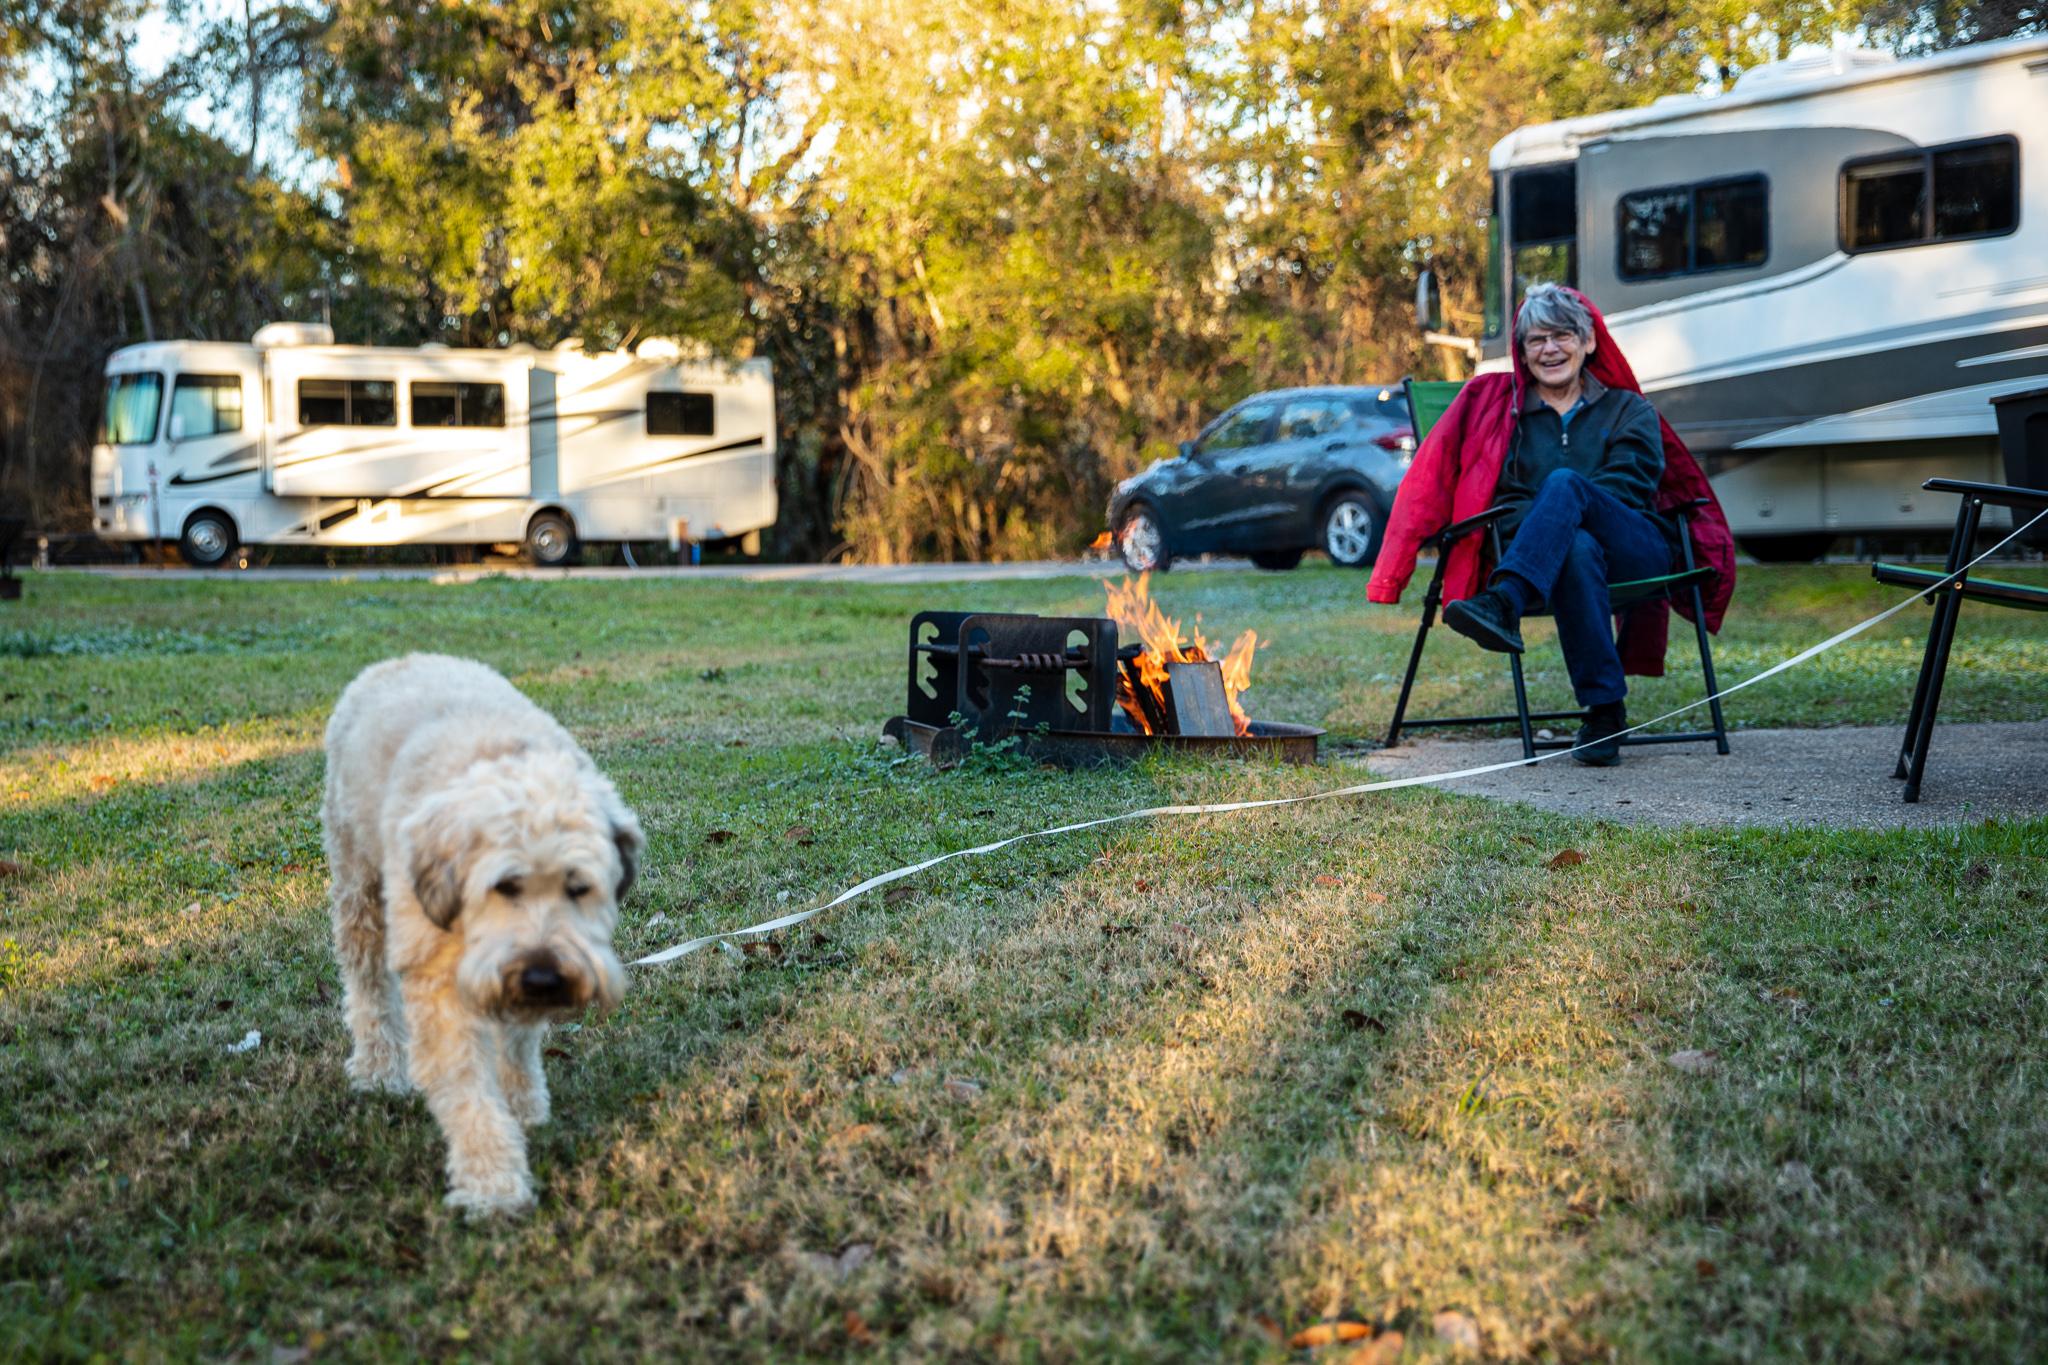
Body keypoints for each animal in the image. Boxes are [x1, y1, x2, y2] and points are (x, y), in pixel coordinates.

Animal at [319, 654, 643, 1219]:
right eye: (505, 885)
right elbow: (465, 1087)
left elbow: (515, 1042)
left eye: (578, 887)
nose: (543, 978)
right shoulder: (436, 977)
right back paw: (379, 1067)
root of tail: (401, 658)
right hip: (357, 880)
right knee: (366, 981)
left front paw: (523, 1105)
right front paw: (492, 1182)